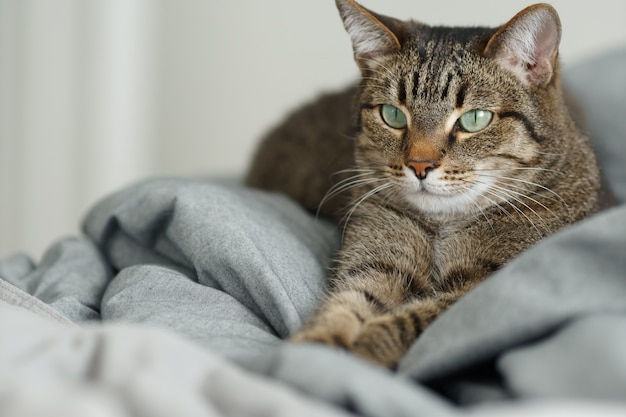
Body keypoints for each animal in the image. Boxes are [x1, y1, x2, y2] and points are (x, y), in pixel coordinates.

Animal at [245, 0, 608, 368]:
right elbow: (346, 303)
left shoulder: (486, 287)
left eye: (475, 119)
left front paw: (369, 342)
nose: (420, 165)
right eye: (392, 115)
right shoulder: (376, 263)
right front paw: (315, 345)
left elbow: (422, 317)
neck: (442, 225)